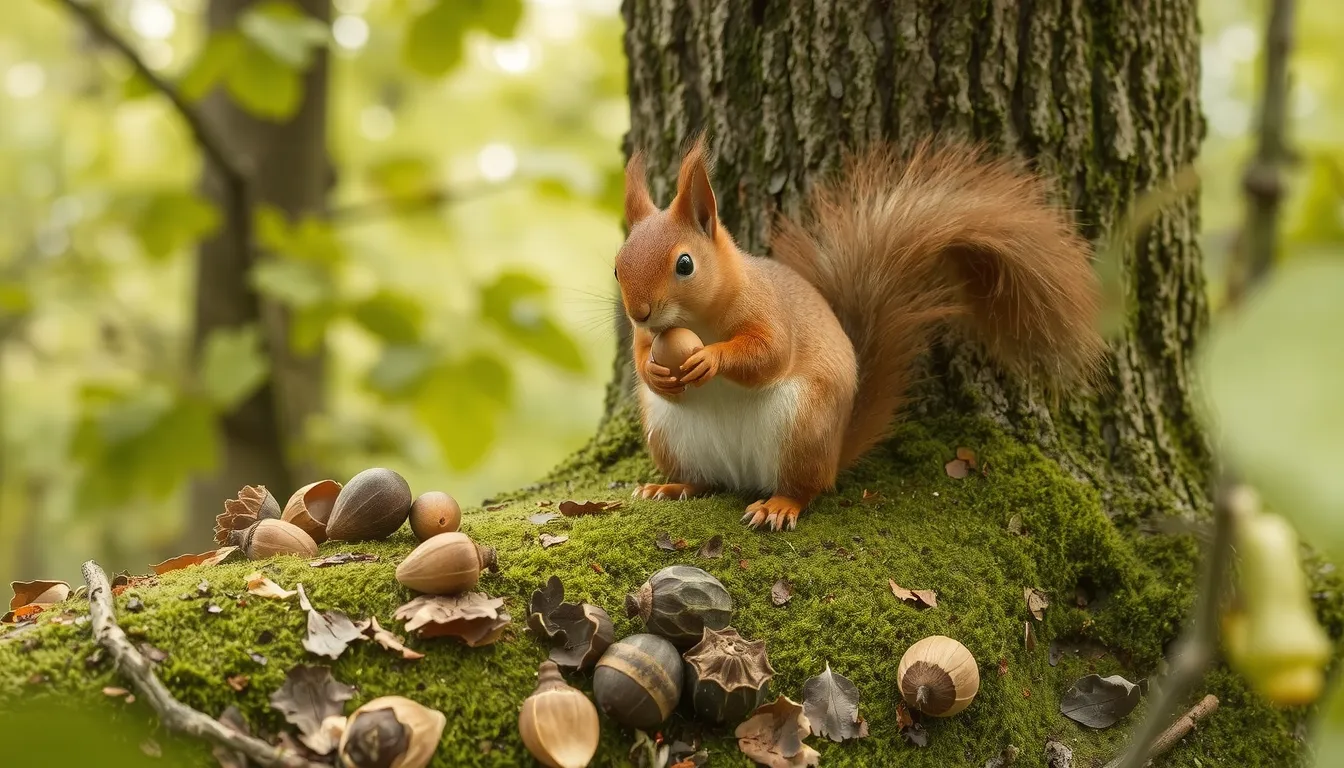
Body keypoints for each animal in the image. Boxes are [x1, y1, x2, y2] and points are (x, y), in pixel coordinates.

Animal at [614, 135, 1105, 531]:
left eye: (685, 264)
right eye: (617, 267)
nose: (639, 312)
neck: (697, 320)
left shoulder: (771, 312)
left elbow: (769, 355)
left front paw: (709, 358)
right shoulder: (646, 339)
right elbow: (642, 359)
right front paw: (656, 372)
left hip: (804, 427)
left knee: (806, 487)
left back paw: (778, 505)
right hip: (671, 435)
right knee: (706, 481)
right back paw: (670, 488)